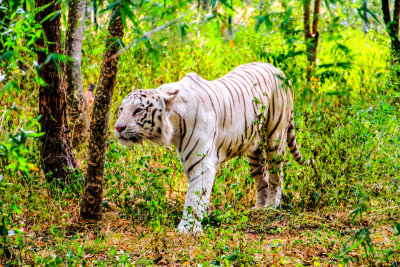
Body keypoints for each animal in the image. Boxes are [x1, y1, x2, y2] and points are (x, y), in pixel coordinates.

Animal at [114, 62, 304, 232]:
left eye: (138, 110)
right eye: (121, 109)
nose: (118, 127)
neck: (174, 124)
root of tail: (279, 70)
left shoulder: (201, 163)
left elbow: (193, 196)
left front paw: (187, 228)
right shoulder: (190, 162)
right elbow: (200, 194)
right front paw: (205, 216)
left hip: (275, 136)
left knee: (276, 174)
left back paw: (272, 206)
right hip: (254, 148)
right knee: (261, 178)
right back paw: (259, 209)